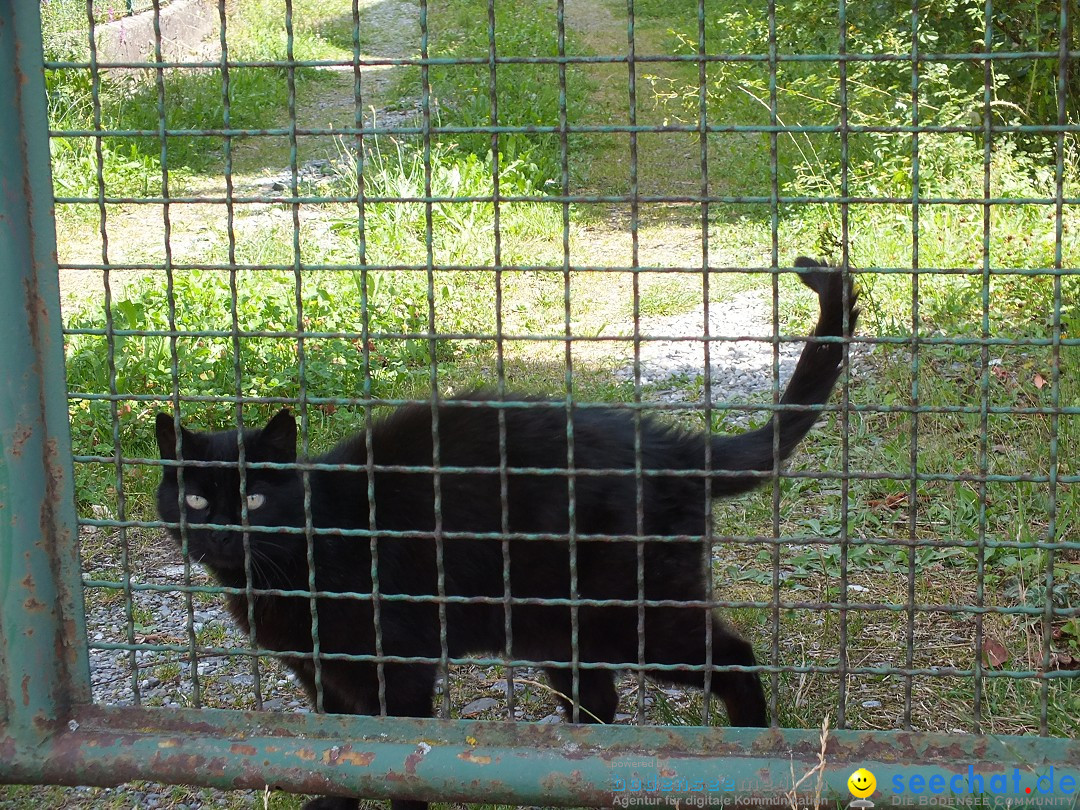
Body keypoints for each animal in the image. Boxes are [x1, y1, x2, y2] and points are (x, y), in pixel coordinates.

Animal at [156, 257, 855, 807]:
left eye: (252, 497)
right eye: (195, 498)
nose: (220, 532)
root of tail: (671, 449)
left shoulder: (400, 669)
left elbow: (397, 766)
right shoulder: (321, 676)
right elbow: (337, 761)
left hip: (636, 615)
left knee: (733, 659)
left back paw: (757, 755)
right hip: (565, 629)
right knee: (598, 705)